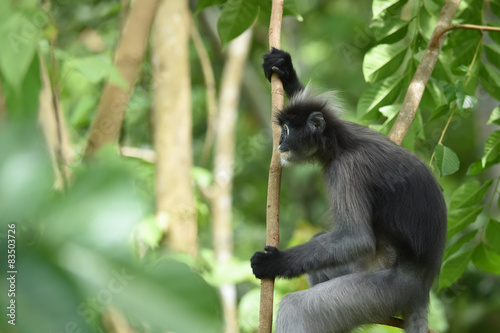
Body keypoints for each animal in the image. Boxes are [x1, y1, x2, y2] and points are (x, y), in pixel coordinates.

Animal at [252, 47, 448, 332]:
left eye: (286, 130)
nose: (279, 144)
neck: (340, 143)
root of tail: (422, 285)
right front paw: (285, 71)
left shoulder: (346, 171)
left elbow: (357, 238)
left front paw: (273, 263)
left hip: (383, 291)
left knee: (296, 307)